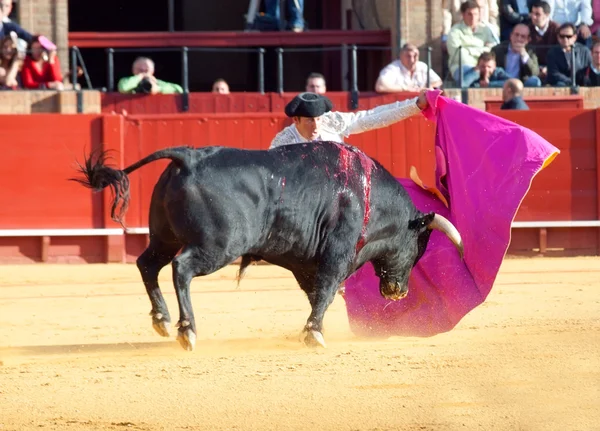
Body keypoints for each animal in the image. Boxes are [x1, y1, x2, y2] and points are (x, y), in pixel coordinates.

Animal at [71, 142, 464, 352]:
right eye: (418, 248)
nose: (399, 292)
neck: (368, 195)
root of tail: (188, 157)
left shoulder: (306, 263)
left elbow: (317, 293)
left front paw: (310, 329)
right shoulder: (336, 253)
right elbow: (326, 291)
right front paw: (314, 334)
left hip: (164, 237)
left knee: (147, 264)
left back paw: (163, 321)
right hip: (217, 245)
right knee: (180, 269)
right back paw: (187, 330)